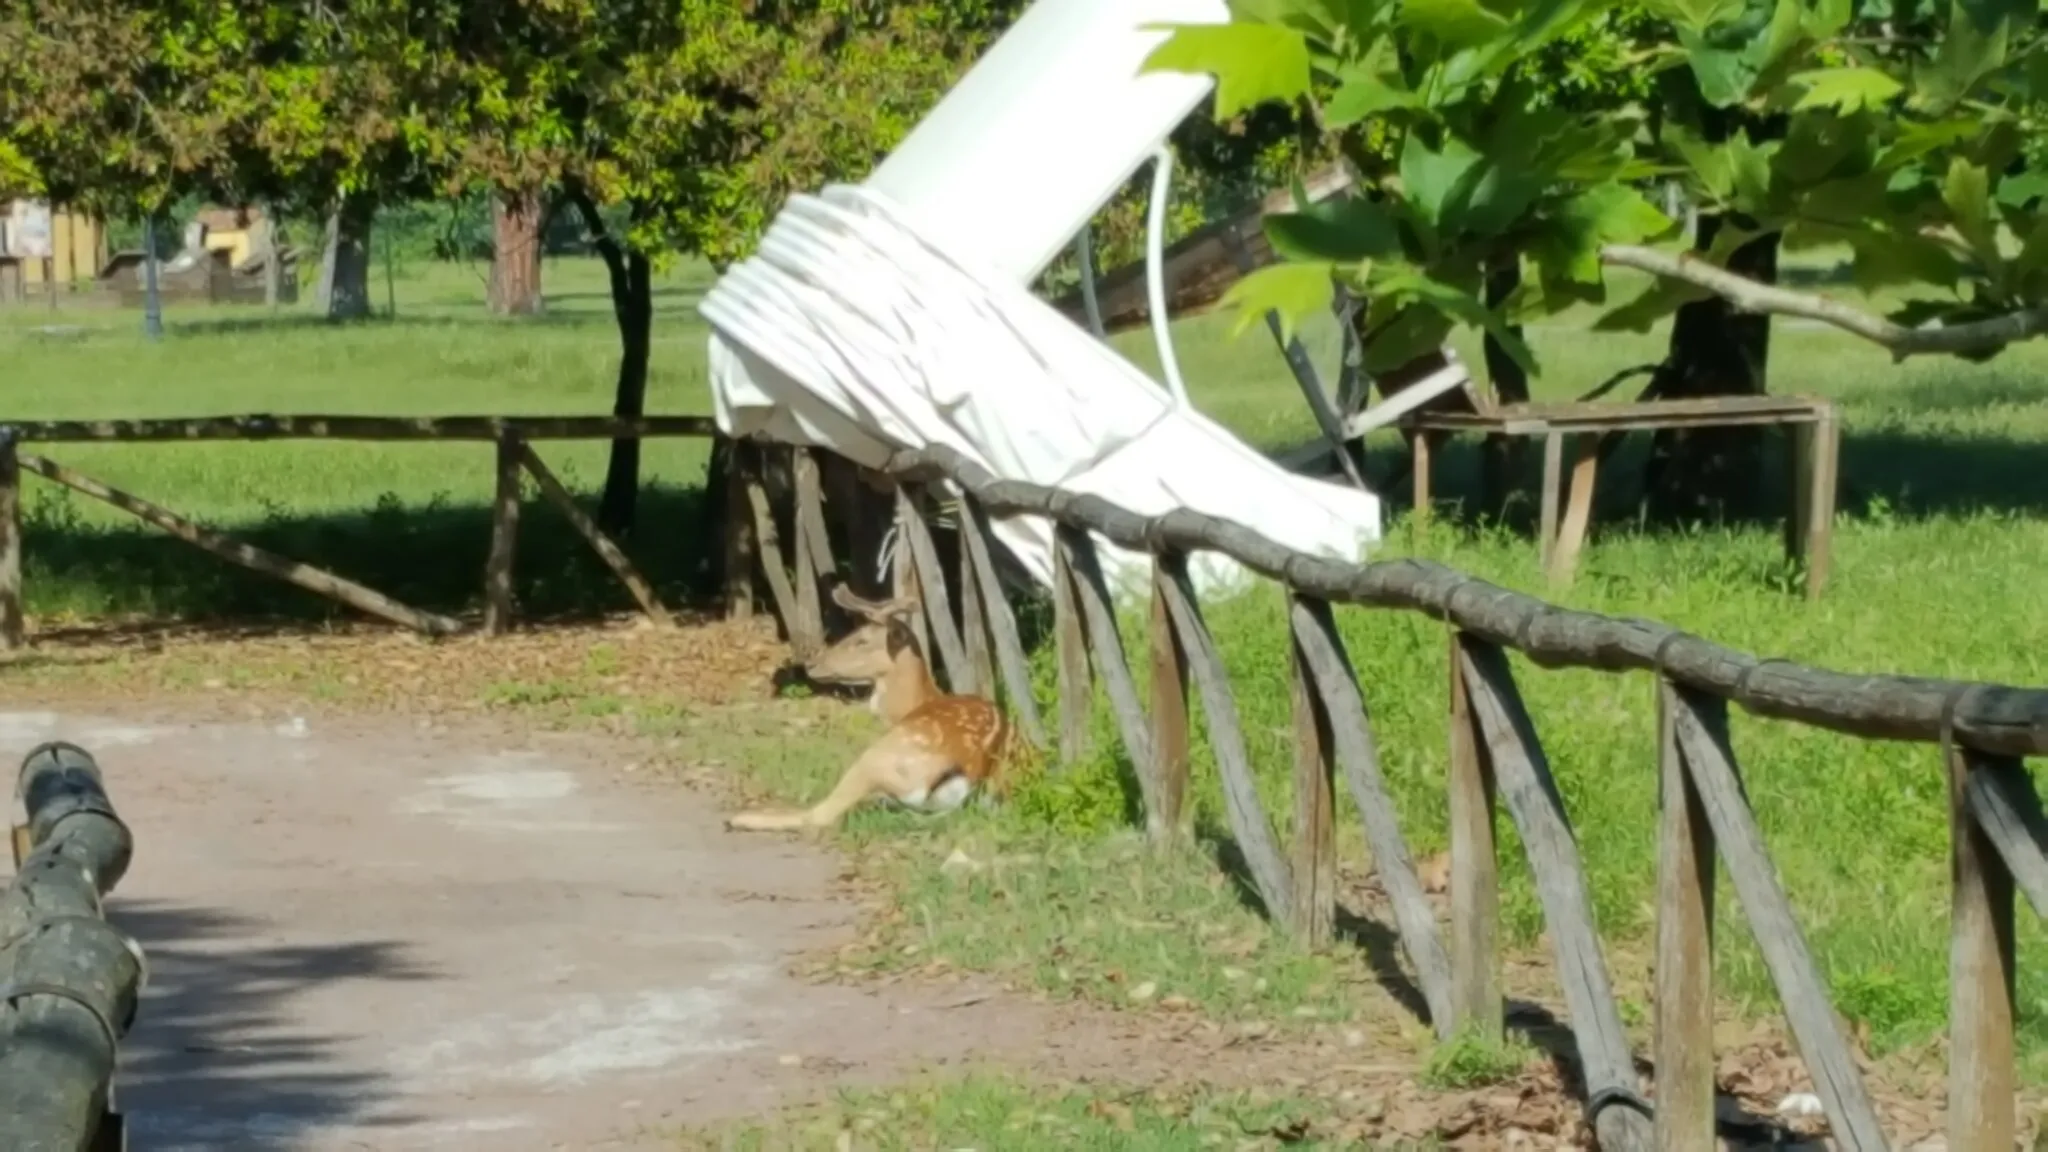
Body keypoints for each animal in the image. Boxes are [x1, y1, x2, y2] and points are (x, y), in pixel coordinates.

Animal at [729, 582, 1032, 824]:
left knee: (818, 815)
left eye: (862, 640)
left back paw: (742, 817)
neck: (914, 703)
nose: (812, 664)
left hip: (875, 758)